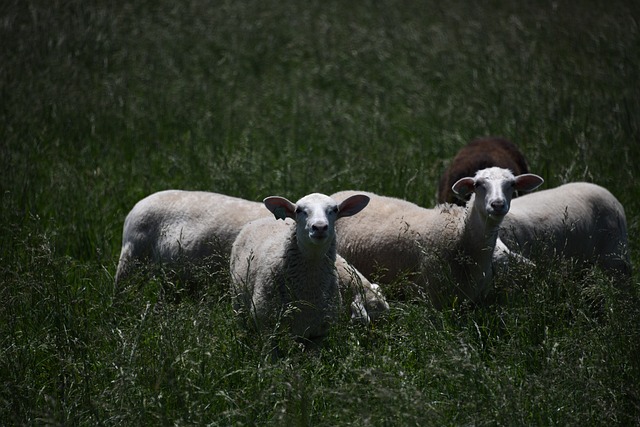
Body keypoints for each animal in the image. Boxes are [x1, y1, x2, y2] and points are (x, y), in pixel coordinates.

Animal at [230, 192, 370, 342]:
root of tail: (265, 218)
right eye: (298, 210)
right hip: (238, 303)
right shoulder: (267, 327)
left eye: (335, 210)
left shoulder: (320, 334)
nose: (319, 227)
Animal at [332, 167, 544, 308]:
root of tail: (339, 193)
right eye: (478, 185)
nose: (498, 205)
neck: (462, 237)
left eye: (512, 184)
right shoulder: (435, 296)